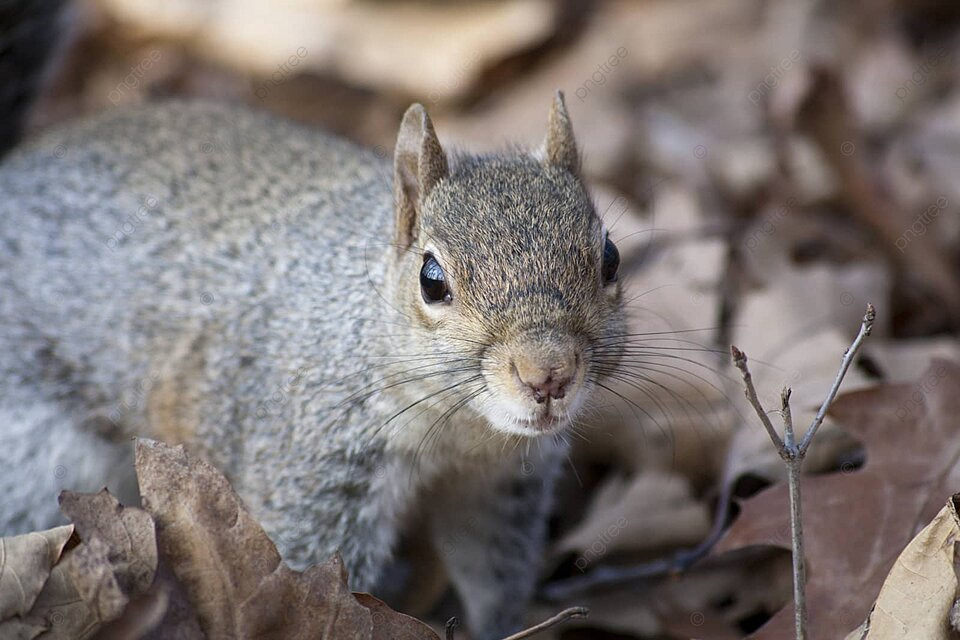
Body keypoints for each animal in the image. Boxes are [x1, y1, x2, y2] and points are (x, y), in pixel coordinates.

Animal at [0, 90, 626, 637]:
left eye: (611, 257)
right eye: (432, 280)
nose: (548, 373)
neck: (461, 433)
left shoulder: (499, 489)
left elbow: (495, 576)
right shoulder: (312, 469)